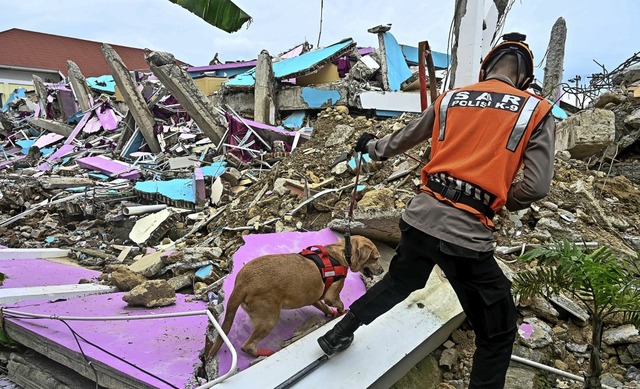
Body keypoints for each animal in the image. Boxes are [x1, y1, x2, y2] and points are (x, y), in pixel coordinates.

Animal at [206, 235, 384, 356]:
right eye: (375, 258)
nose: (382, 270)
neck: (341, 253)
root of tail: (242, 284)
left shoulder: (315, 298)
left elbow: (325, 307)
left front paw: (332, 314)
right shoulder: (331, 296)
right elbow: (339, 304)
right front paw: (341, 312)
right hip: (268, 320)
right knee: (246, 346)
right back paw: (265, 353)